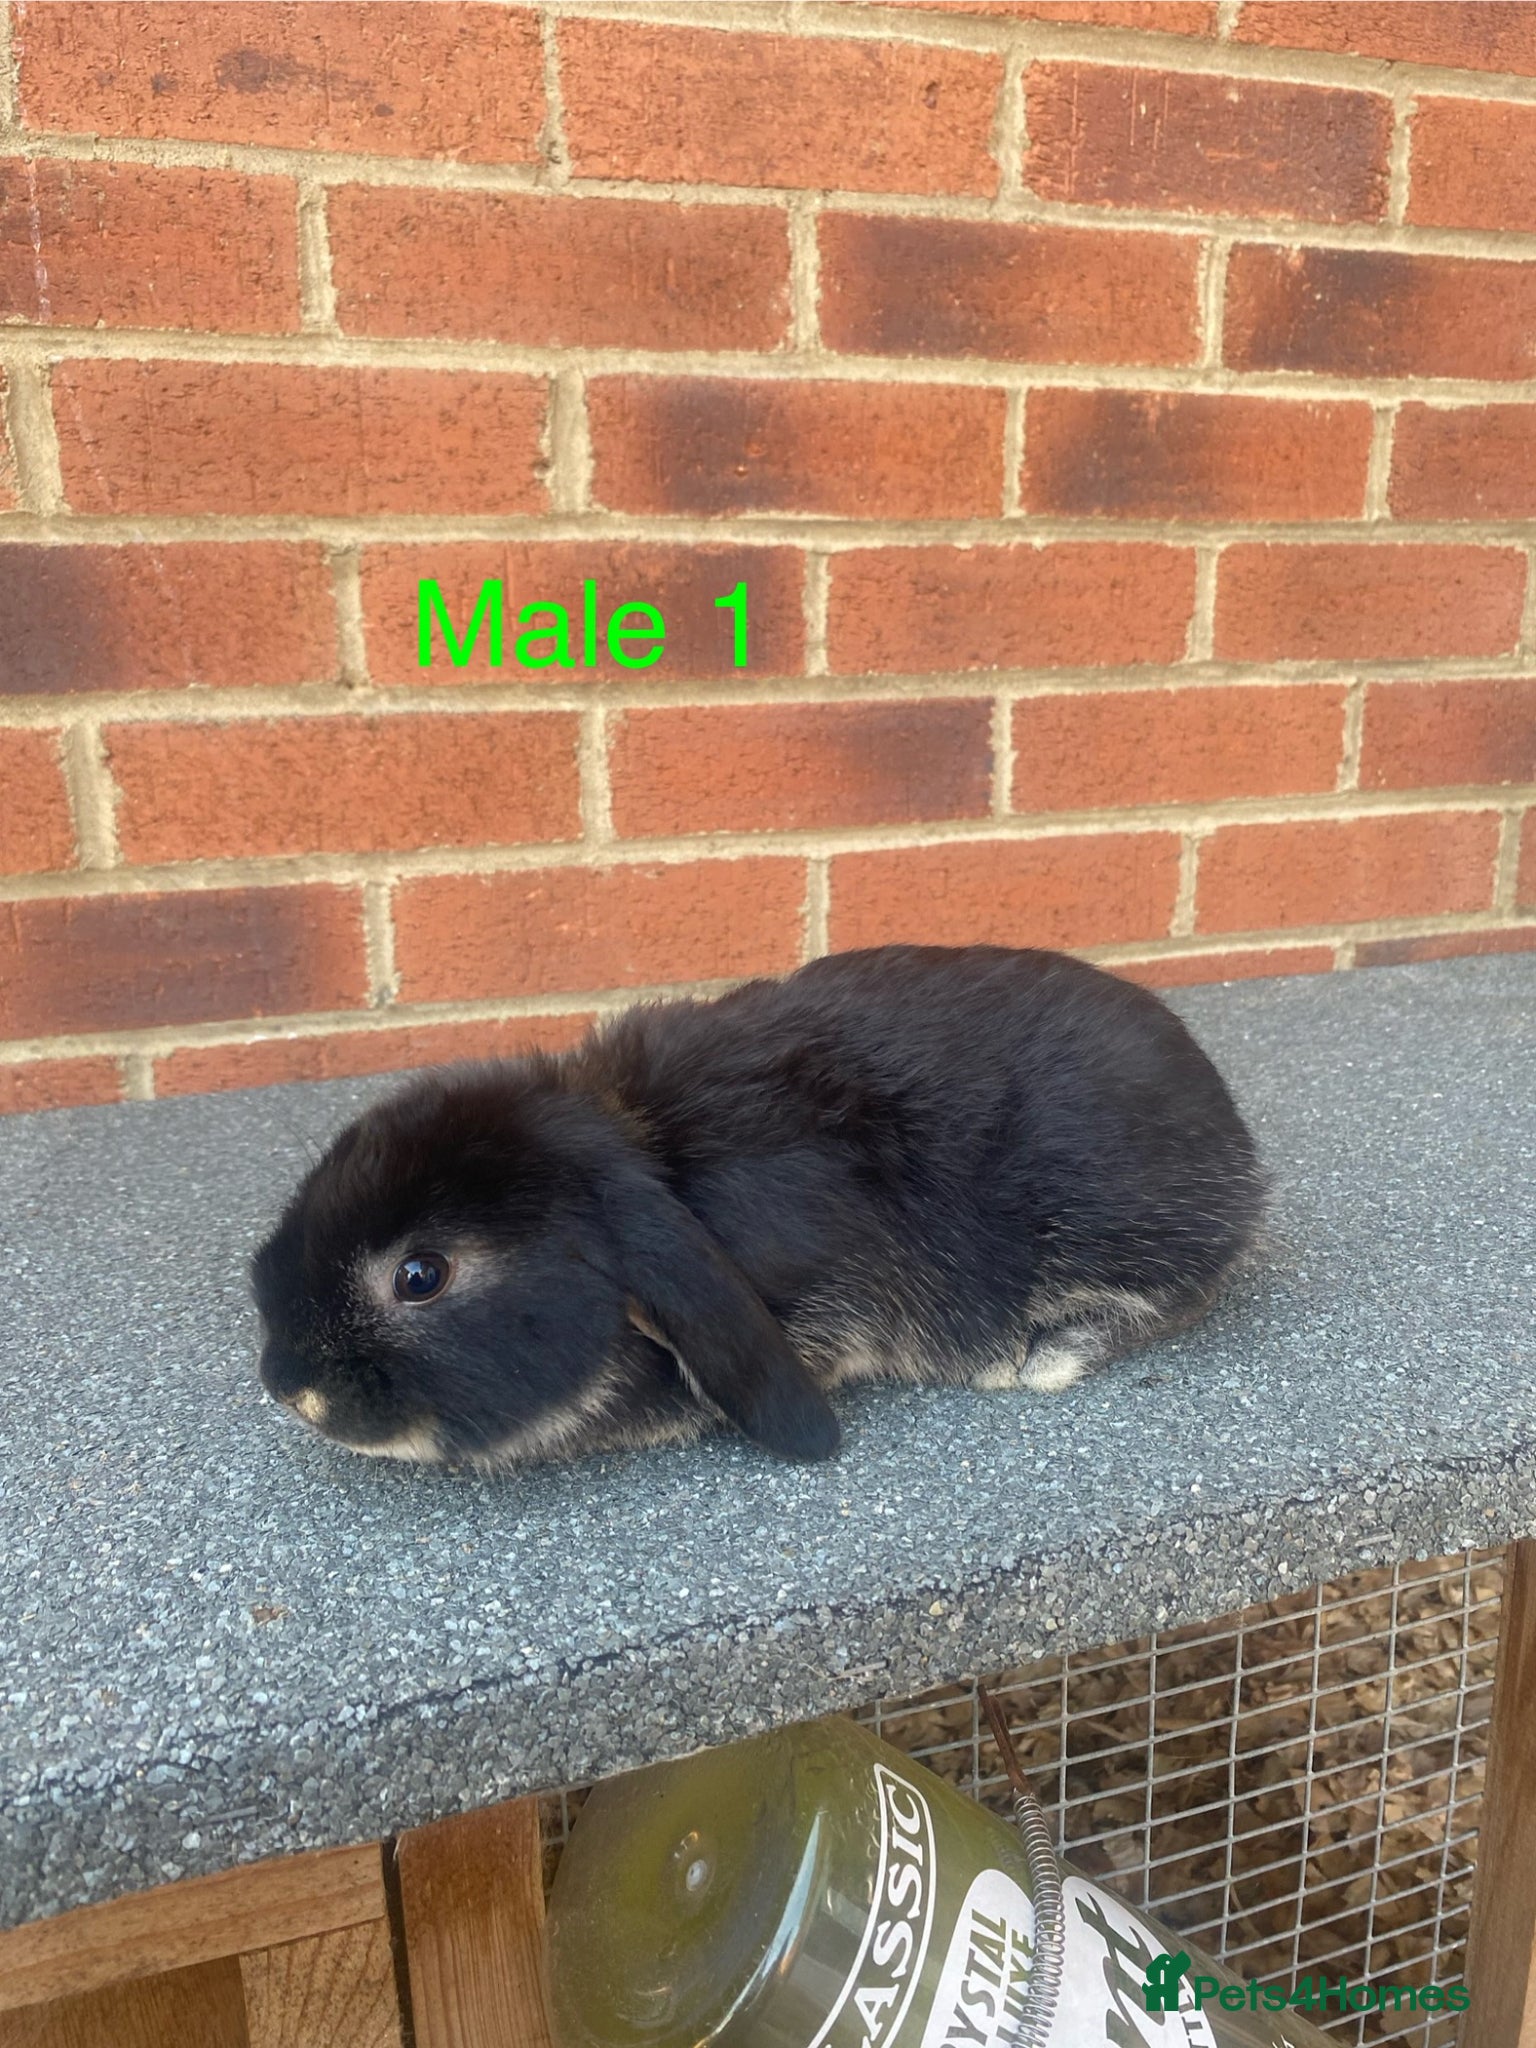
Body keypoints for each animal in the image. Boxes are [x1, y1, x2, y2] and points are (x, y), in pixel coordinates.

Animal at [251, 944, 1265, 1471]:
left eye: (420, 1275)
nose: (289, 1389)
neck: (646, 1152)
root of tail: (1236, 1139)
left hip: (1121, 1222)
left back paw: (1042, 1357)